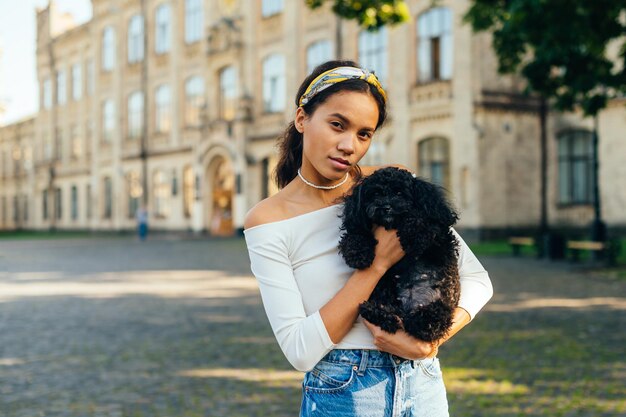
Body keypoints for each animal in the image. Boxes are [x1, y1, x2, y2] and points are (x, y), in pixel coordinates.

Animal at [338, 166, 460, 342]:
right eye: (375, 193)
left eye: (399, 193)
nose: (385, 207)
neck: (392, 225)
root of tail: (408, 310)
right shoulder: (359, 224)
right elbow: (355, 234)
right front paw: (358, 255)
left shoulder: (439, 233)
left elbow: (420, 218)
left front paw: (413, 237)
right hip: (384, 288)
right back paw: (377, 312)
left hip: (440, 306)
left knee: (426, 327)